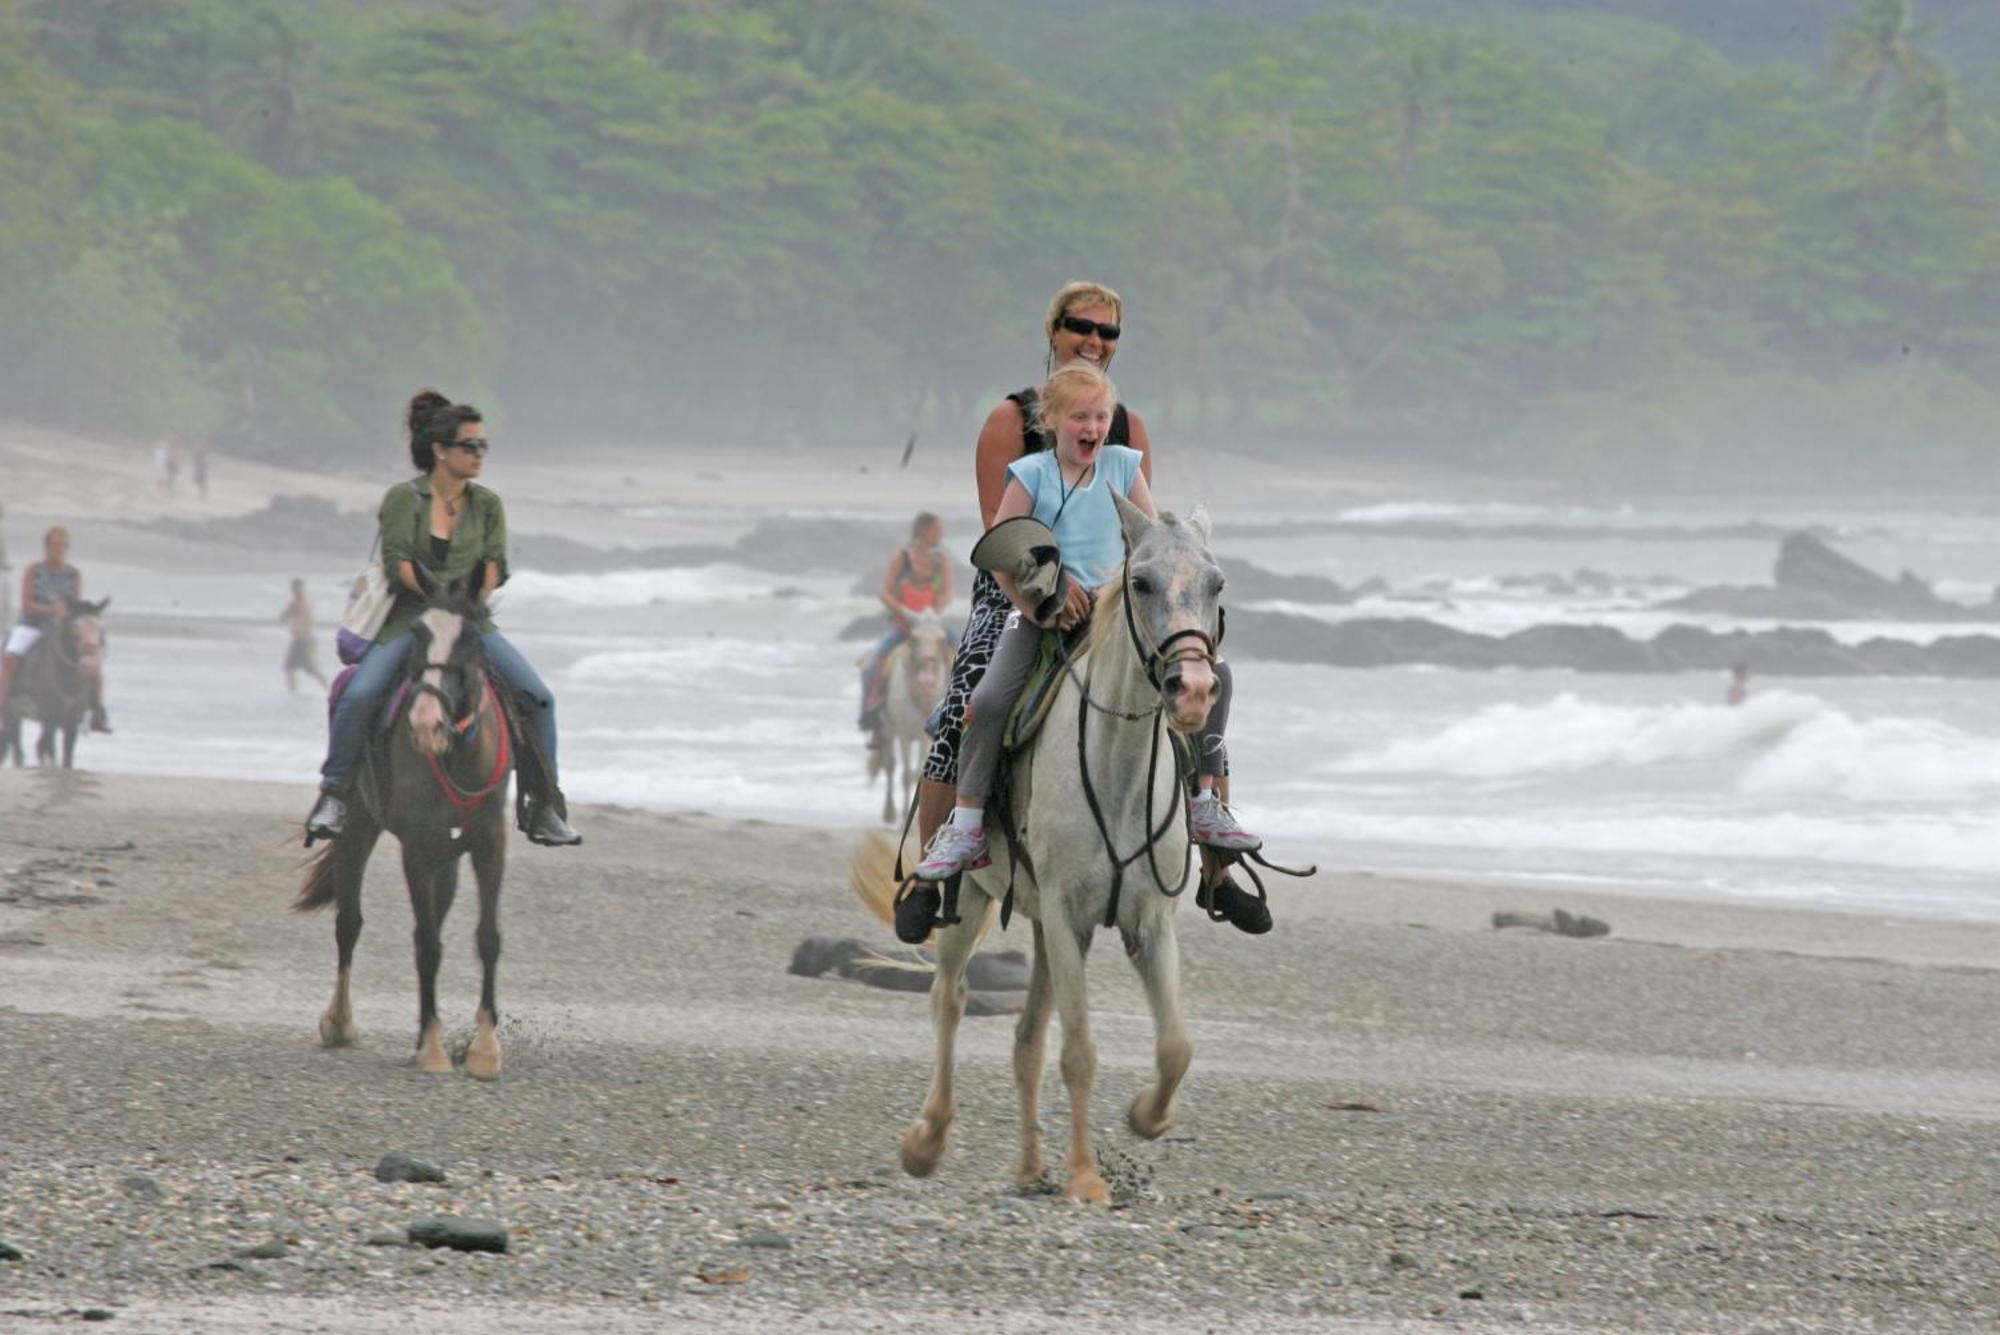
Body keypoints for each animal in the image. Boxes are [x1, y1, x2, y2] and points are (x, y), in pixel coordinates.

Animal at [1, 599, 108, 767]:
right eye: (75, 628)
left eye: (101, 629)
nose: (90, 663)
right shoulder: (49, 719)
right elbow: (49, 753)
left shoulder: (71, 724)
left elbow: (66, 760)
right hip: (12, 713)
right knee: (18, 748)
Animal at [298, 579, 520, 1079]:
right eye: (417, 634)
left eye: (471, 638)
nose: (426, 724)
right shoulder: (416, 848)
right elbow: (427, 943)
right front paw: (435, 1050)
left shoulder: (489, 844)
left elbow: (488, 937)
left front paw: (484, 1050)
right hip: (358, 828)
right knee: (350, 923)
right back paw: (339, 1023)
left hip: (447, 859)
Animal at [864, 607, 948, 823]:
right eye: (914, 639)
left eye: (941, 639)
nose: (927, 681)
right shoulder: (902, 733)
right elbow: (904, 774)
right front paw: (903, 818)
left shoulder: (924, 736)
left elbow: (917, 772)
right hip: (887, 730)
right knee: (890, 765)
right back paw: (890, 812)